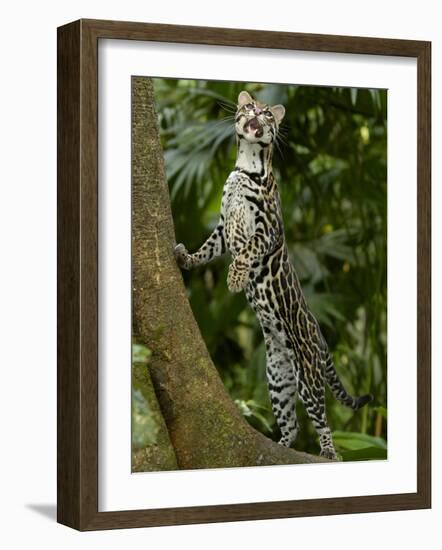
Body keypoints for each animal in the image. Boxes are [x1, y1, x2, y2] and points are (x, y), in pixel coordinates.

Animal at [174, 91, 372, 462]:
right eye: (249, 107)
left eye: (268, 114)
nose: (257, 113)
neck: (247, 166)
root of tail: (320, 337)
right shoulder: (222, 229)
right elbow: (206, 249)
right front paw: (186, 257)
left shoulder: (267, 230)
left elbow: (246, 252)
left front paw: (235, 279)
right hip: (277, 379)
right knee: (291, 425)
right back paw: (278, 446)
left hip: (307, 375)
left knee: (322, 420)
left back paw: (329, 452)